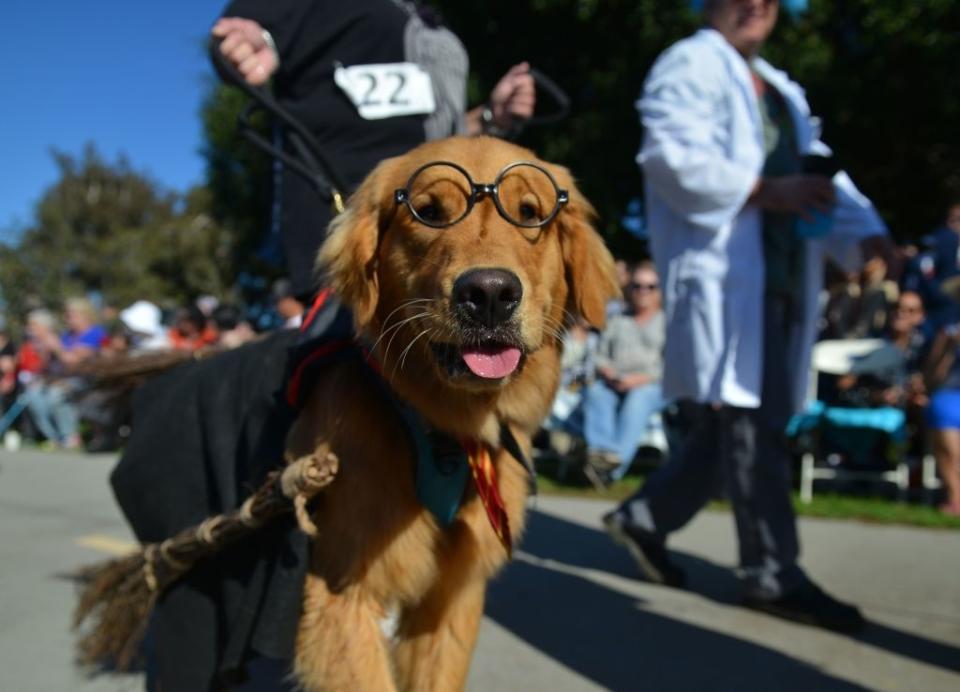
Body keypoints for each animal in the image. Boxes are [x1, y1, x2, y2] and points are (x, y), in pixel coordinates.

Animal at [284, 134, 620, 688]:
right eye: (428, 211)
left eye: (530, 213)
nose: (490, 293)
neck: (444, 431)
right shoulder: (342, 594)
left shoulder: (449, 603)